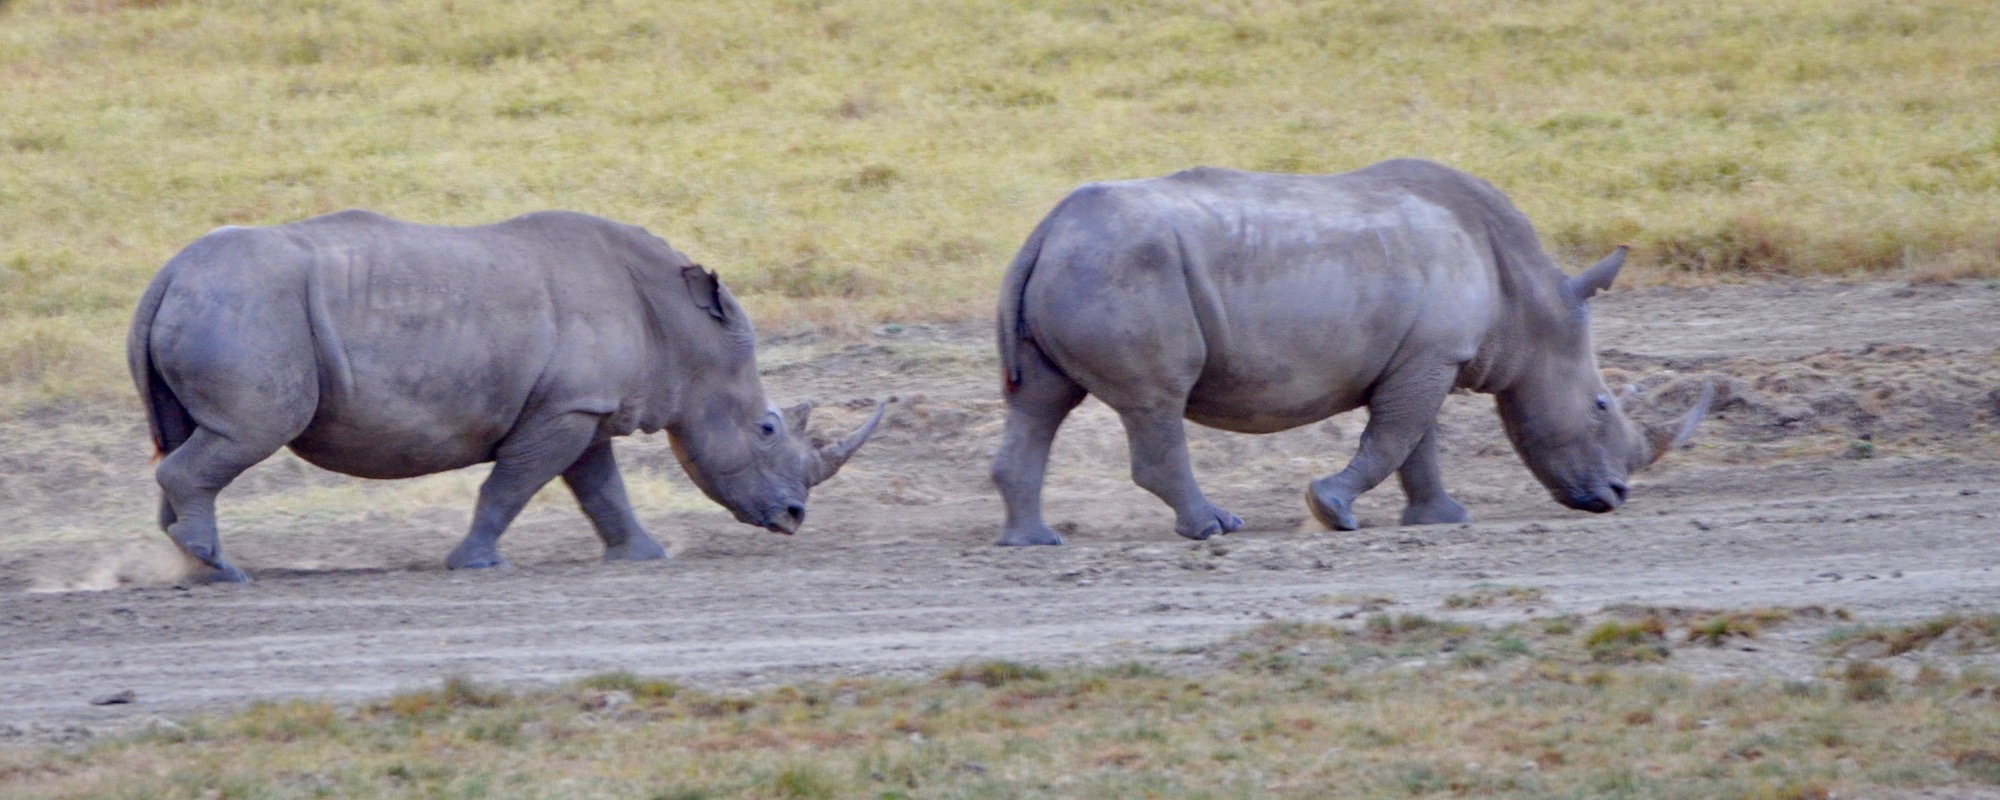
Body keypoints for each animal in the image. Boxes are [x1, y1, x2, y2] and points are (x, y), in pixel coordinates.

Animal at [129, 209, 888, 580]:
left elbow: (601, 489)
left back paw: (186, 564)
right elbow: (512, 486)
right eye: (767, 429)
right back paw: (221, 569)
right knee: (246, 433)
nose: (794, 516)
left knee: (190, 438)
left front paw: (645, 558)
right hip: (248, 310)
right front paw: (477, 566)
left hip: (225, 303)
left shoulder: (582, 406)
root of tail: (166, 274)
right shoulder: (565, 409)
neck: (680, 329)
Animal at [992, 159, 1712, 548]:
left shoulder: (1425, 355)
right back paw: (1216, 528)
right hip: (1126, 268)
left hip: (1085, 265)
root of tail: (1048, 229)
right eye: (1600, 405)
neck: (1530, 304)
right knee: (1157, 403)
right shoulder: (1433, 354)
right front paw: (1331, 510)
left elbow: (1415, 442)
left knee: (1041, 402)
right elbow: (1395, 437)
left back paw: (1034, 540)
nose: (1617, 496)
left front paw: (1441, 520)